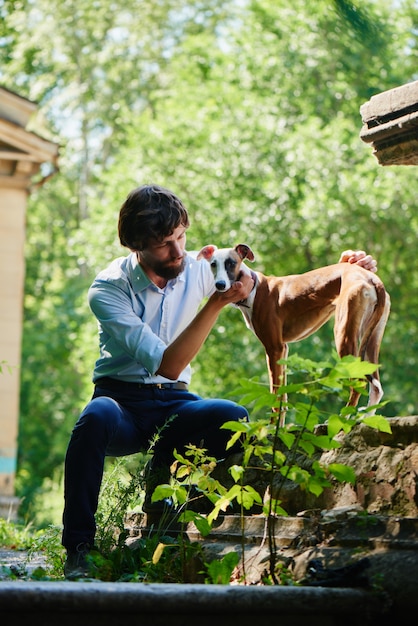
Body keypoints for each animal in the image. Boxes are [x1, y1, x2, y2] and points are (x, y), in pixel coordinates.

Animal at [198, 241, 390, 422]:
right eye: (213, 264)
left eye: (231, 263)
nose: (220, 285)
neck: (254, 289)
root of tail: (371, 278)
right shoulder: (283, 349)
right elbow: (283, 399)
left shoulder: (274, 348)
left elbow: (275, 397)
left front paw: (270, 430)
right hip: (372, 337)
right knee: (376, 388)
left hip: (344, 334)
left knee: (359, 382)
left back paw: (341, 422)